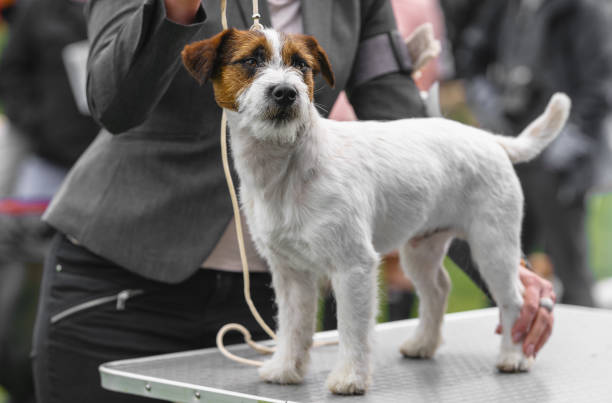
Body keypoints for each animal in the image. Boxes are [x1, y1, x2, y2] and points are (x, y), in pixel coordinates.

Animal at [180, 29, 568, 398]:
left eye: (301, 65)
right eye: (250, 61)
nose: (286, 93)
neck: (287, 168)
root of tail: (491, 140)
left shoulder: (354, 267)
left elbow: (352, 329)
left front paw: (349, 378)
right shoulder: (290, 272)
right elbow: (293, 325)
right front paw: (286, 369)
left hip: (493, 246)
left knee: (514, 298)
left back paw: (513, 356)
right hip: (421, 248)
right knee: (438, 288)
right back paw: (423, 343)